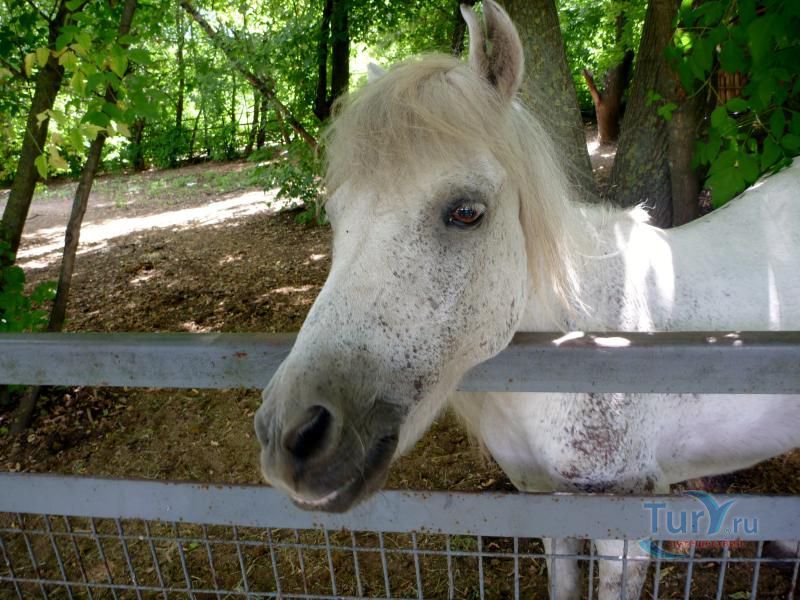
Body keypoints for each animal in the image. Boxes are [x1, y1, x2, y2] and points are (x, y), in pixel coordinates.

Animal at [254, 1, 800, 597]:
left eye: (466, 212)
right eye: (335, 216)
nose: (292, 436)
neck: (583, 349)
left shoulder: (624, 537)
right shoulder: (544, 504)